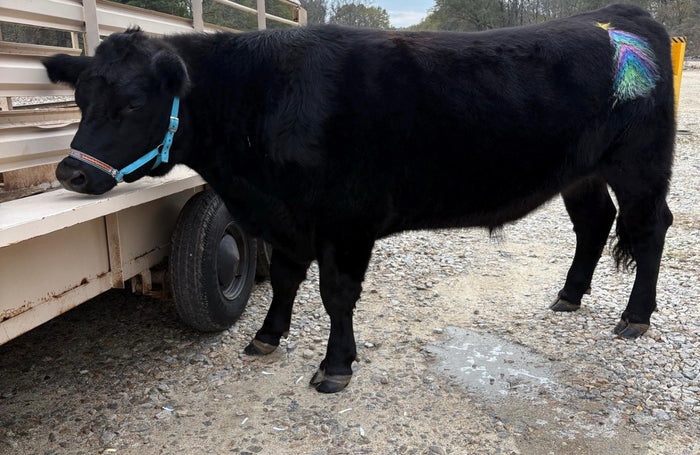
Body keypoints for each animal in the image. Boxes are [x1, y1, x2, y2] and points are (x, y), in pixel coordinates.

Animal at [43, 3, 674, 393]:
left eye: (132, 103)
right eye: (80, 99)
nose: (71, 172)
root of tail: (622, 17)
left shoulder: (345, 221)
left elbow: (336, 294)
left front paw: (335, 367)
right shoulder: (285, 218)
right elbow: (288, 278)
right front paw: (266, 337)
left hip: (641, 165)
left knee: (650, 227)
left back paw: (635, 317)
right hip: (582, 173)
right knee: (594, 222)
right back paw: (569, 295)